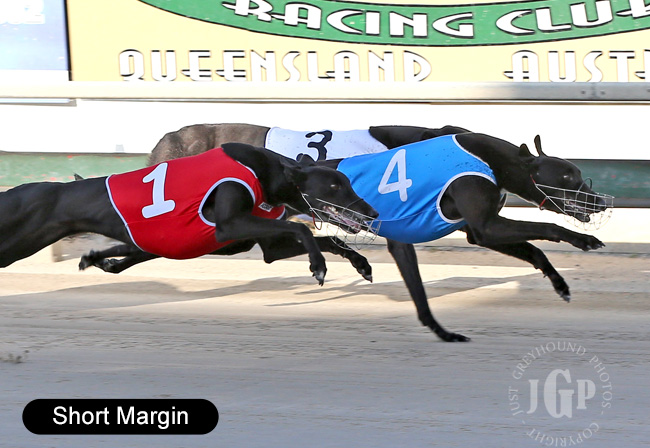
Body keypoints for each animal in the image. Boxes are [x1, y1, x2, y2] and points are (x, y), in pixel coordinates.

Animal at [0, 143, 378, 286]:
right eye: (335, 186)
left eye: (347, 182)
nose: (372, 211)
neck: (267, 172)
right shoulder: (229, 226)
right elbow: (302, 230)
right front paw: (318, 267)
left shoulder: (262, 242)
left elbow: (326, 238)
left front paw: (361, 263)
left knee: (128, 254)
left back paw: (98, 259)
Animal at [92, 124, 612, 342]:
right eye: (570, 175)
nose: (602, 201)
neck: (486, 153)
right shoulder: (485, 223)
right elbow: (547, 227)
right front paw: (584, 242)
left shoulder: (478, 232)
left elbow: (534, 249)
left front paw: (559, 283)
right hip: (233, 231)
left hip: (238, 234)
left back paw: (105, 259)